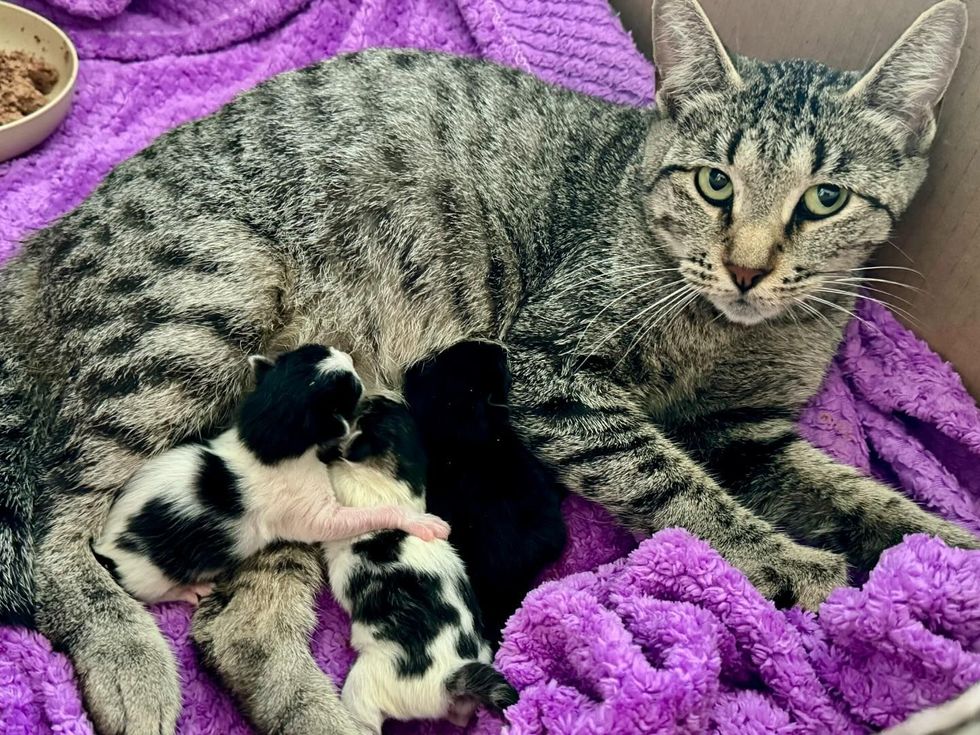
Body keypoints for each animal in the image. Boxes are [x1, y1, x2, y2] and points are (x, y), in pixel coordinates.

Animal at [94, 344, 448, 604]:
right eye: (352, 386)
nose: (351, 355)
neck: (263, 440)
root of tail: (105, 548)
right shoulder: (313, 516)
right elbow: (371, 514)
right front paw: (420, 521)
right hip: (148, 575)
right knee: (150, 595)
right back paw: (187, 590)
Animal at [324, 400, 520, 732]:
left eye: (365, 413)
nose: (371, 397)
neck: (399, 479)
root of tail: (450, 677)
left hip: (363, 686)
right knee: (460, 716)